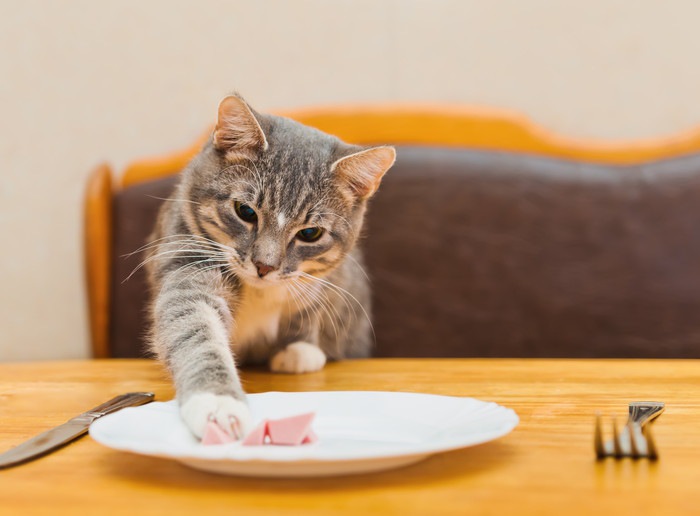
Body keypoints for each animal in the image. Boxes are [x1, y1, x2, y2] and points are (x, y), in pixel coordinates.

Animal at [144, 93, 394, 440]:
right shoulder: (188, 259)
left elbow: (310, 306)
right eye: (245, 211)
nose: (264, 266)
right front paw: (217, 402)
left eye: (310, 233)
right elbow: (195, 330)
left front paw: (299, 348)